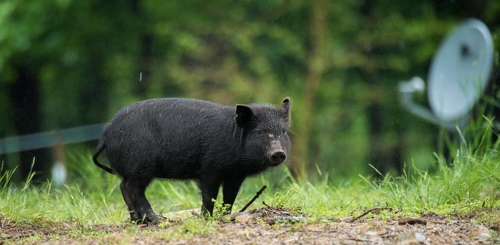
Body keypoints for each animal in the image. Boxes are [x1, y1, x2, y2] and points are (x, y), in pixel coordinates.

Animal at [92, 97, 292, 224]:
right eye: (259, 132)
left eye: (283, 131)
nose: (278, 153)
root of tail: (105, 135)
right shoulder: (209, 170)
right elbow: (209, 196)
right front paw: (207, 218)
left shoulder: (235, 176)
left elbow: (229, 197)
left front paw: (226, 215)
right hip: (141, 167)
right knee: (132, 189)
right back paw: (155, 221)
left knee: (123, 187)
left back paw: (138, 221)